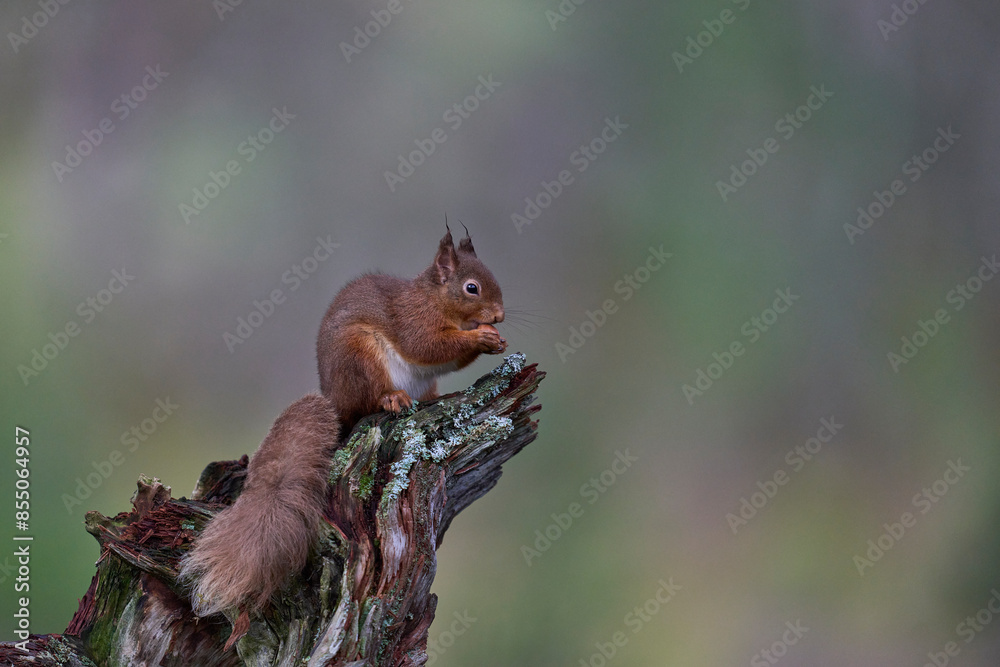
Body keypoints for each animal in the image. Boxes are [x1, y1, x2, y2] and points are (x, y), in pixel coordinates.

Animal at [180, 228, 506, 622]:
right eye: (472, 288)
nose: (500, 315)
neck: (434, 299)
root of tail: (336, 401)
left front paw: (496, 340)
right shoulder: (412, 321)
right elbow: (428, 346)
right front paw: (482, 337)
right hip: (360, 355)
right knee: (371, 398)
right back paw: (392, 398)